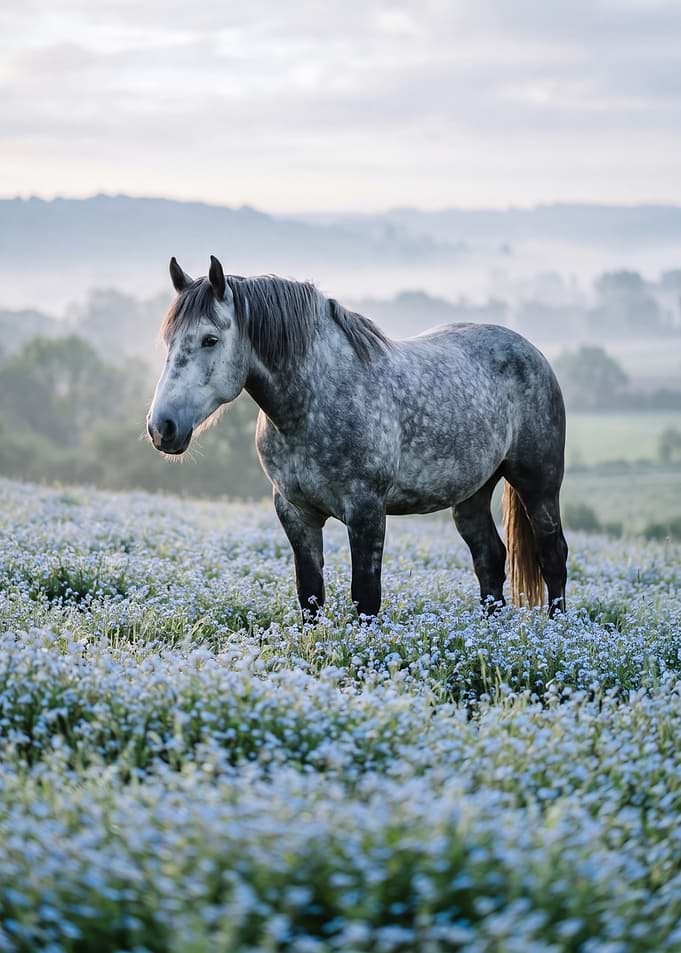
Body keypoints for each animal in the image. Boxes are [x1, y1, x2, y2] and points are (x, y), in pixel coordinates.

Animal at [147, 256, 568, 620]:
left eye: (210, 339)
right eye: (167, 340)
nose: (161, 426)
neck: (315, 399)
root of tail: (532, 352)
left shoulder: (366, 510)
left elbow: (365, 597)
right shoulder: (295, 511)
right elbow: (310, 595)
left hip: (538, 484)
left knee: (553, 557)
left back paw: (558, 631)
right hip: (472, 493)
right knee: (489, 559)